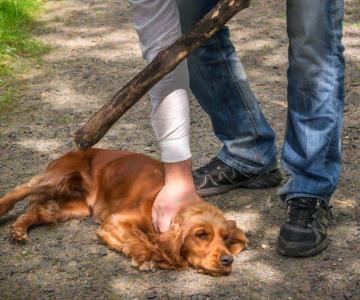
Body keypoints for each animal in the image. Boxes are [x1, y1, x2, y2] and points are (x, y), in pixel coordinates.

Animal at [0, 149, 248, 276]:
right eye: (201, 234)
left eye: (226, 238)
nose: (228, 260)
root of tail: (78, 149)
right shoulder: (114, 220)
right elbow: (136, 237)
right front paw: (148, 256)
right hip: (57, 176)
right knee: (21, 189)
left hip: (76, 207)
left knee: (42, 211)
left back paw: (18, 229)